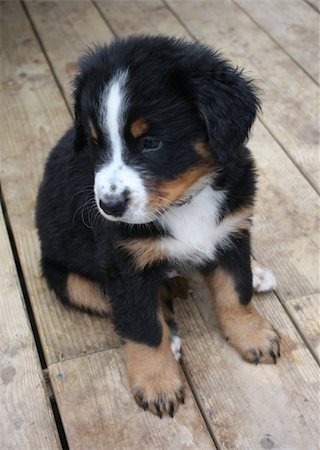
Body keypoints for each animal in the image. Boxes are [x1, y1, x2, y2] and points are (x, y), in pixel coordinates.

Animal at [36, 35, 278, 418]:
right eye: (95, 142)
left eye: (151, 143)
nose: (109, 206)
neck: (185, 201)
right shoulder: (124, 264)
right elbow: (143, 327)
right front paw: (157, 383)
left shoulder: (231, 231)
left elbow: (235, 291)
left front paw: (252, 334)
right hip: (67, 279)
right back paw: (172, 338)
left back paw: (258, 273)